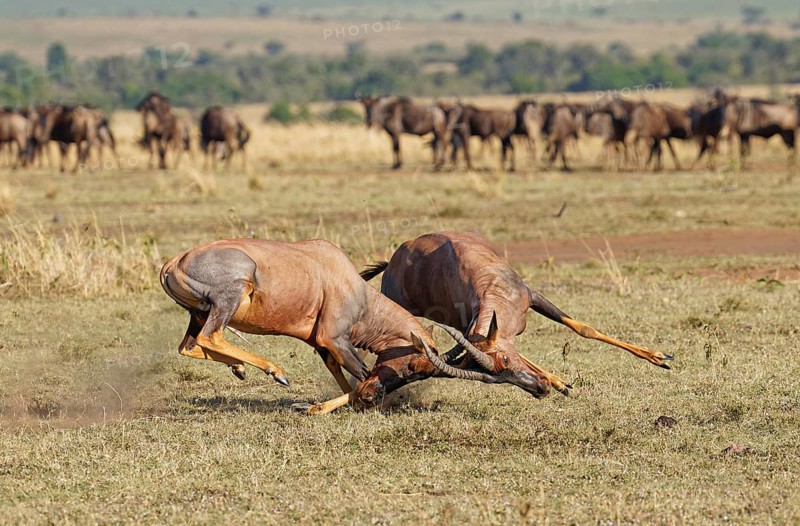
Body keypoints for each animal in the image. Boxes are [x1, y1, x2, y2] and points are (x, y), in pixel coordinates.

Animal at [160, 238, 551, 415]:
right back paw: (276, 371)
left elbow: (348, 379)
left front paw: (318, 407)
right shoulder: (334, 338)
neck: (346, 280)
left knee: (190, 345)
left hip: (198, 313)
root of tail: (172, 262)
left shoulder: (323, 344)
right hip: (231, 294)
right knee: (210, 336)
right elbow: (361, 374)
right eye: (412, 366)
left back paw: (241, 368)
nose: (541, 388)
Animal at [360, 232, 671, 393]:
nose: (540, 390)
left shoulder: (533, 297)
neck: (492, 286)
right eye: (492, 378)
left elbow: (582, 328)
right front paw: (558, 382)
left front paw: (660, 358)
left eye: (506, 361)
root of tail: (392, 263)